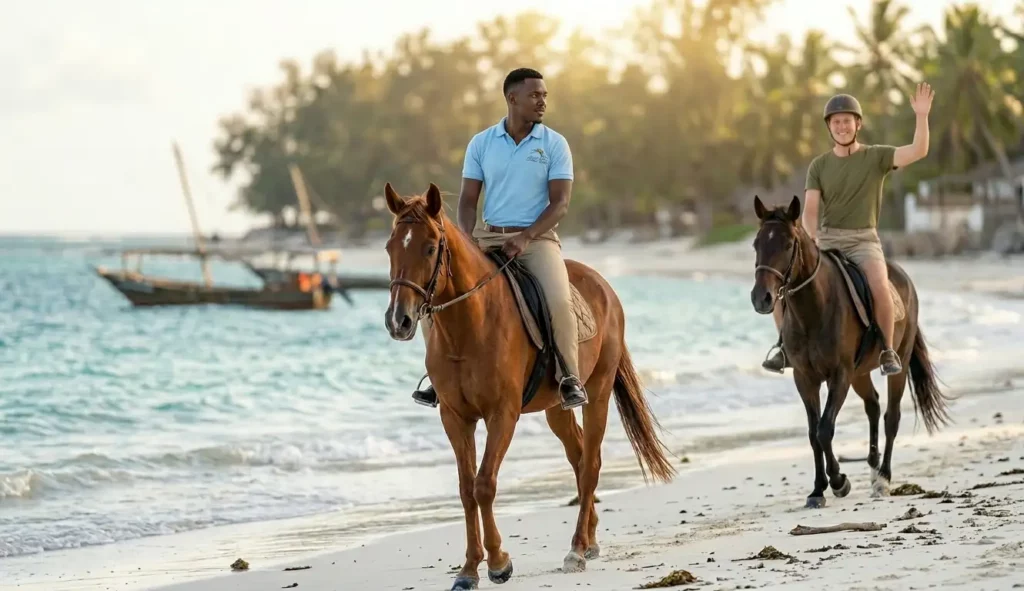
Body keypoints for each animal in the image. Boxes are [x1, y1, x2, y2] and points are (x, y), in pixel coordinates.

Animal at [382, 182, 675, 590]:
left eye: (428, 247)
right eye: (390, 247)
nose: (399, 321)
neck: (468, 326)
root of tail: (604, 286)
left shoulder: (502, 414)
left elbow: (484, 484)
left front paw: (498, 563)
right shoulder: (455, 417)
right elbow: (465, 488)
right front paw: (468, 570)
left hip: (597, 394)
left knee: (590, 463)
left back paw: (576, 550)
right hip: (555, 409)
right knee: (579, 457)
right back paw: (590, 541)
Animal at [749, 195, 950, 509]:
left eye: (788, 244)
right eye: (756, 244)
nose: (761, 298)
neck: (813, 310)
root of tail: (903, 276)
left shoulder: (839, 375)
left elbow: (825, 428)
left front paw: (839, 481)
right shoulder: (805, 379)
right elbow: (813, 433)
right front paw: (817, 489)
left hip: (898, 364)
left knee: (891, 417)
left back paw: (883, 478)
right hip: (860, 374)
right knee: (873, 405)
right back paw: (873, 465)